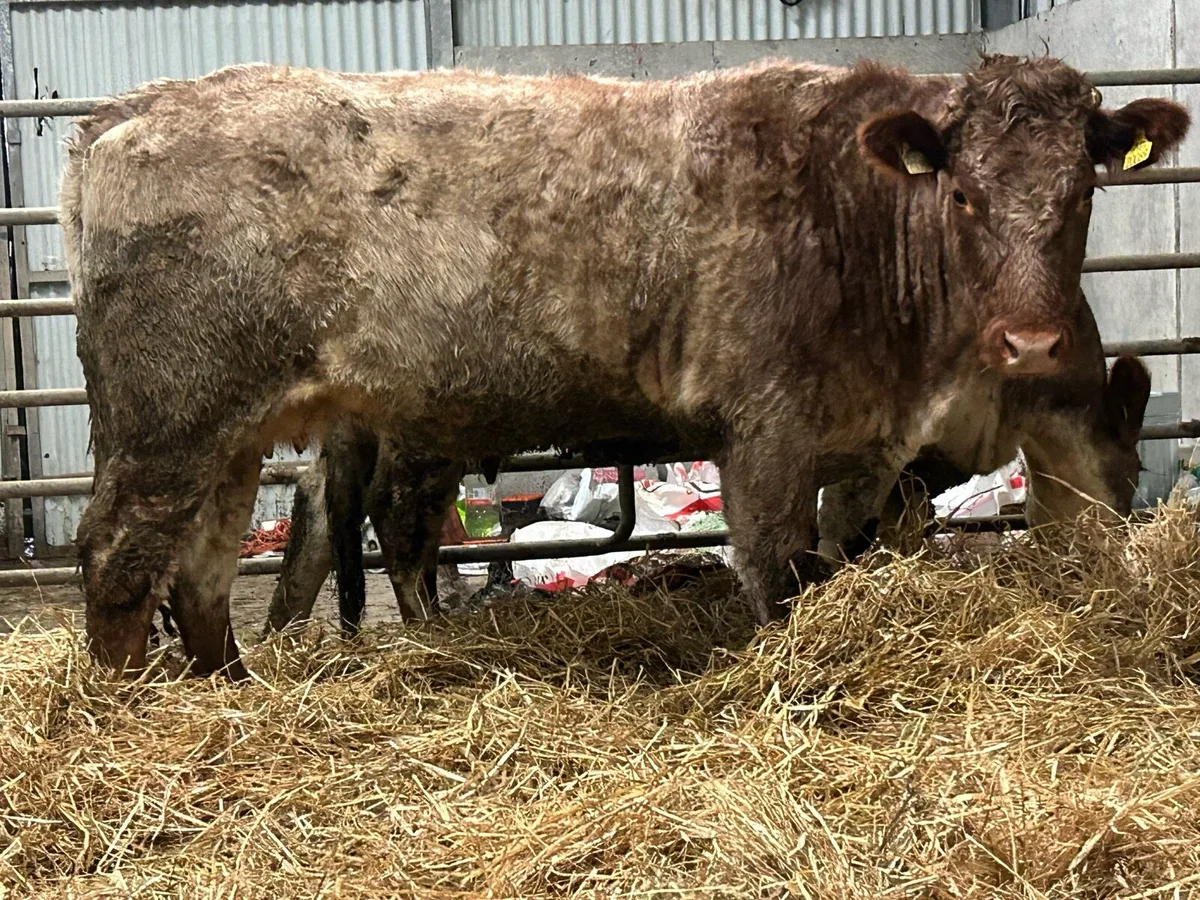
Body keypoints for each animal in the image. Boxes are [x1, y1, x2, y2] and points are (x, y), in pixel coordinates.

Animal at [61, 56, 1190, 678]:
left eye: (1084, 190)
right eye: (962, 193)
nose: (1032, 342)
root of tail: (127, 112)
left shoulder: (867, 449)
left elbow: (846, 555)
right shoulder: (767, 430)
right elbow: (778, 570)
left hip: (236, 432)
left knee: (204, 568)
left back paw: (231, 692)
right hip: (172, 417)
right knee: (119, 556)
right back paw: (128, 714)